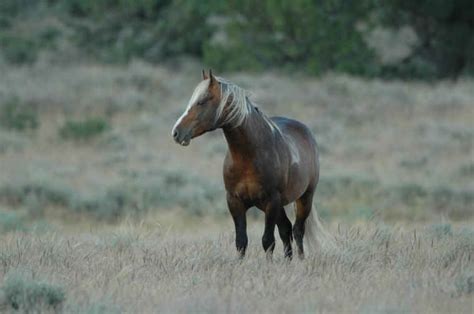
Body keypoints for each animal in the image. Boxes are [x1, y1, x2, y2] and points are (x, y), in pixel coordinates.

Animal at [171, 70, 330, 258]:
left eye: (202, 101)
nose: (176, 132)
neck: (248, 157)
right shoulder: (235, 202)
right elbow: (241, 241)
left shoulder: (271, 201)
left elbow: (267, 241)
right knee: (286, 229)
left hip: (304, 198)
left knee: (298, 230)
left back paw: (301, 260)